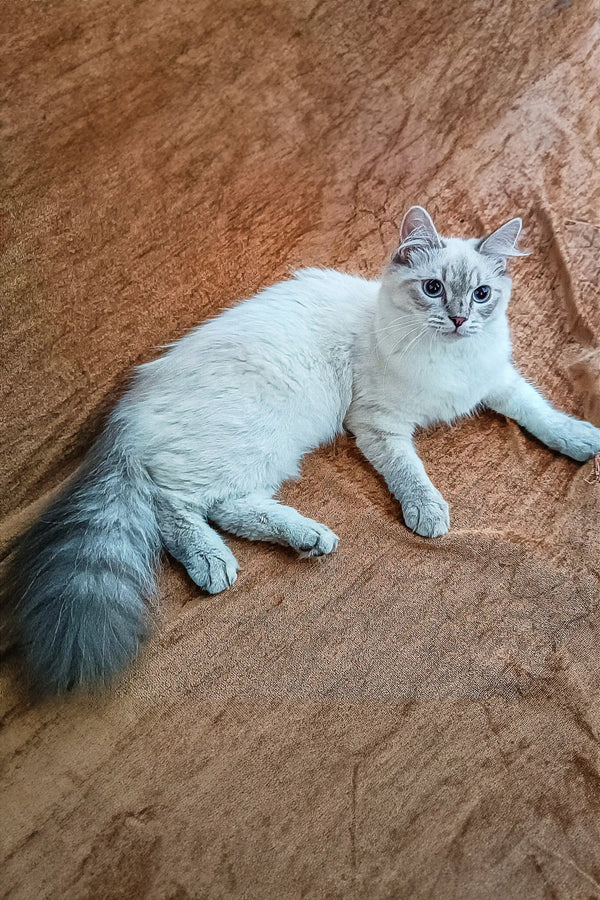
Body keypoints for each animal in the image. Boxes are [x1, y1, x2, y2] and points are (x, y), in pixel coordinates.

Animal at [5, 206, 600, 696]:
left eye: (480, 296)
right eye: (433, 288)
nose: (457, 319)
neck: (448, 362)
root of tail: (126, 412)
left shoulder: (497, 381)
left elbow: (540, 413)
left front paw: (580, 439)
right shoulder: (379, 425)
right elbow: (412, 473)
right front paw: (428, 512)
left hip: (269, 454)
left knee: (227, 507)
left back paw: (308, 539)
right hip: (255, 438)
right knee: (173, 504)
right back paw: (216, 563)